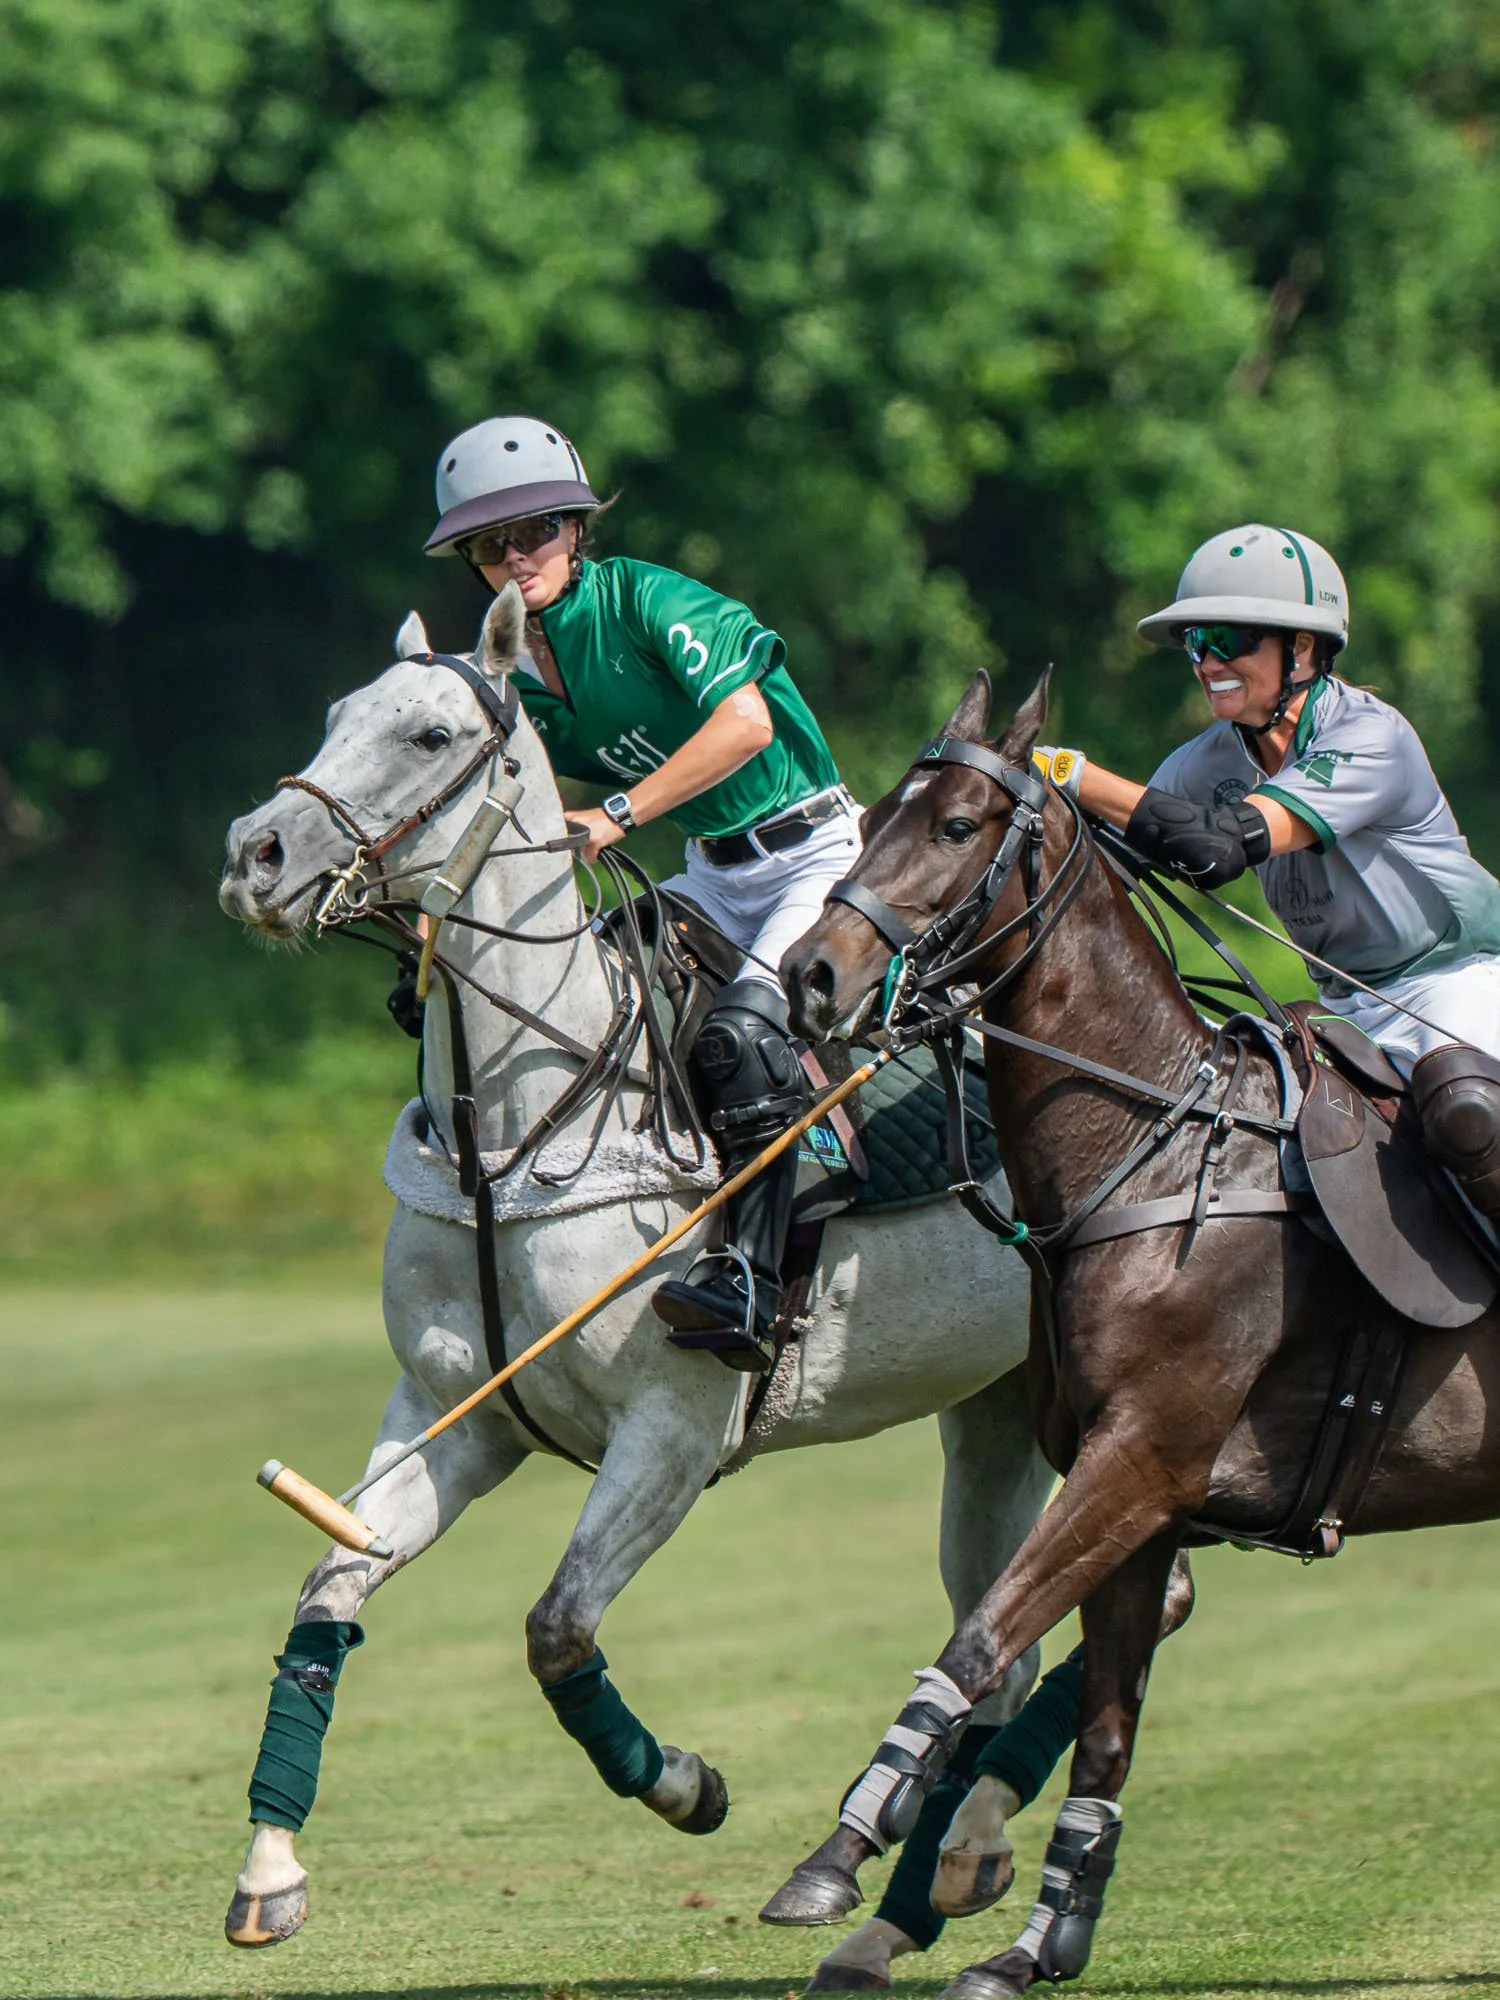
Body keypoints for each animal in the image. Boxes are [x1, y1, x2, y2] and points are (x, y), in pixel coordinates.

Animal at [215, 585, 1056, 1957]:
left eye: (434, 734)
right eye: (341, 714)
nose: (257, 855)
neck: (514, 1135)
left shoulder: (673, 1425)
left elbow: (558, 1627)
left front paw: (685, 1783)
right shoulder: (452, 1412)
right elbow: (331, 1579)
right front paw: (270, 1868)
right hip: (996, 1413)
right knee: (1013, 1627)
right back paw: (890, 1852)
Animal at [772, 666, 1500, 1996]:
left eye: (957, 825)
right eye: (869, 819)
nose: (810, 977)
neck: (1150, 1146)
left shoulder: (1143, 1454)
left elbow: (979, 1635)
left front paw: (852, 1836)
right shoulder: (1144, 1499)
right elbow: (1104, 1732)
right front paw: (1031, 1941)